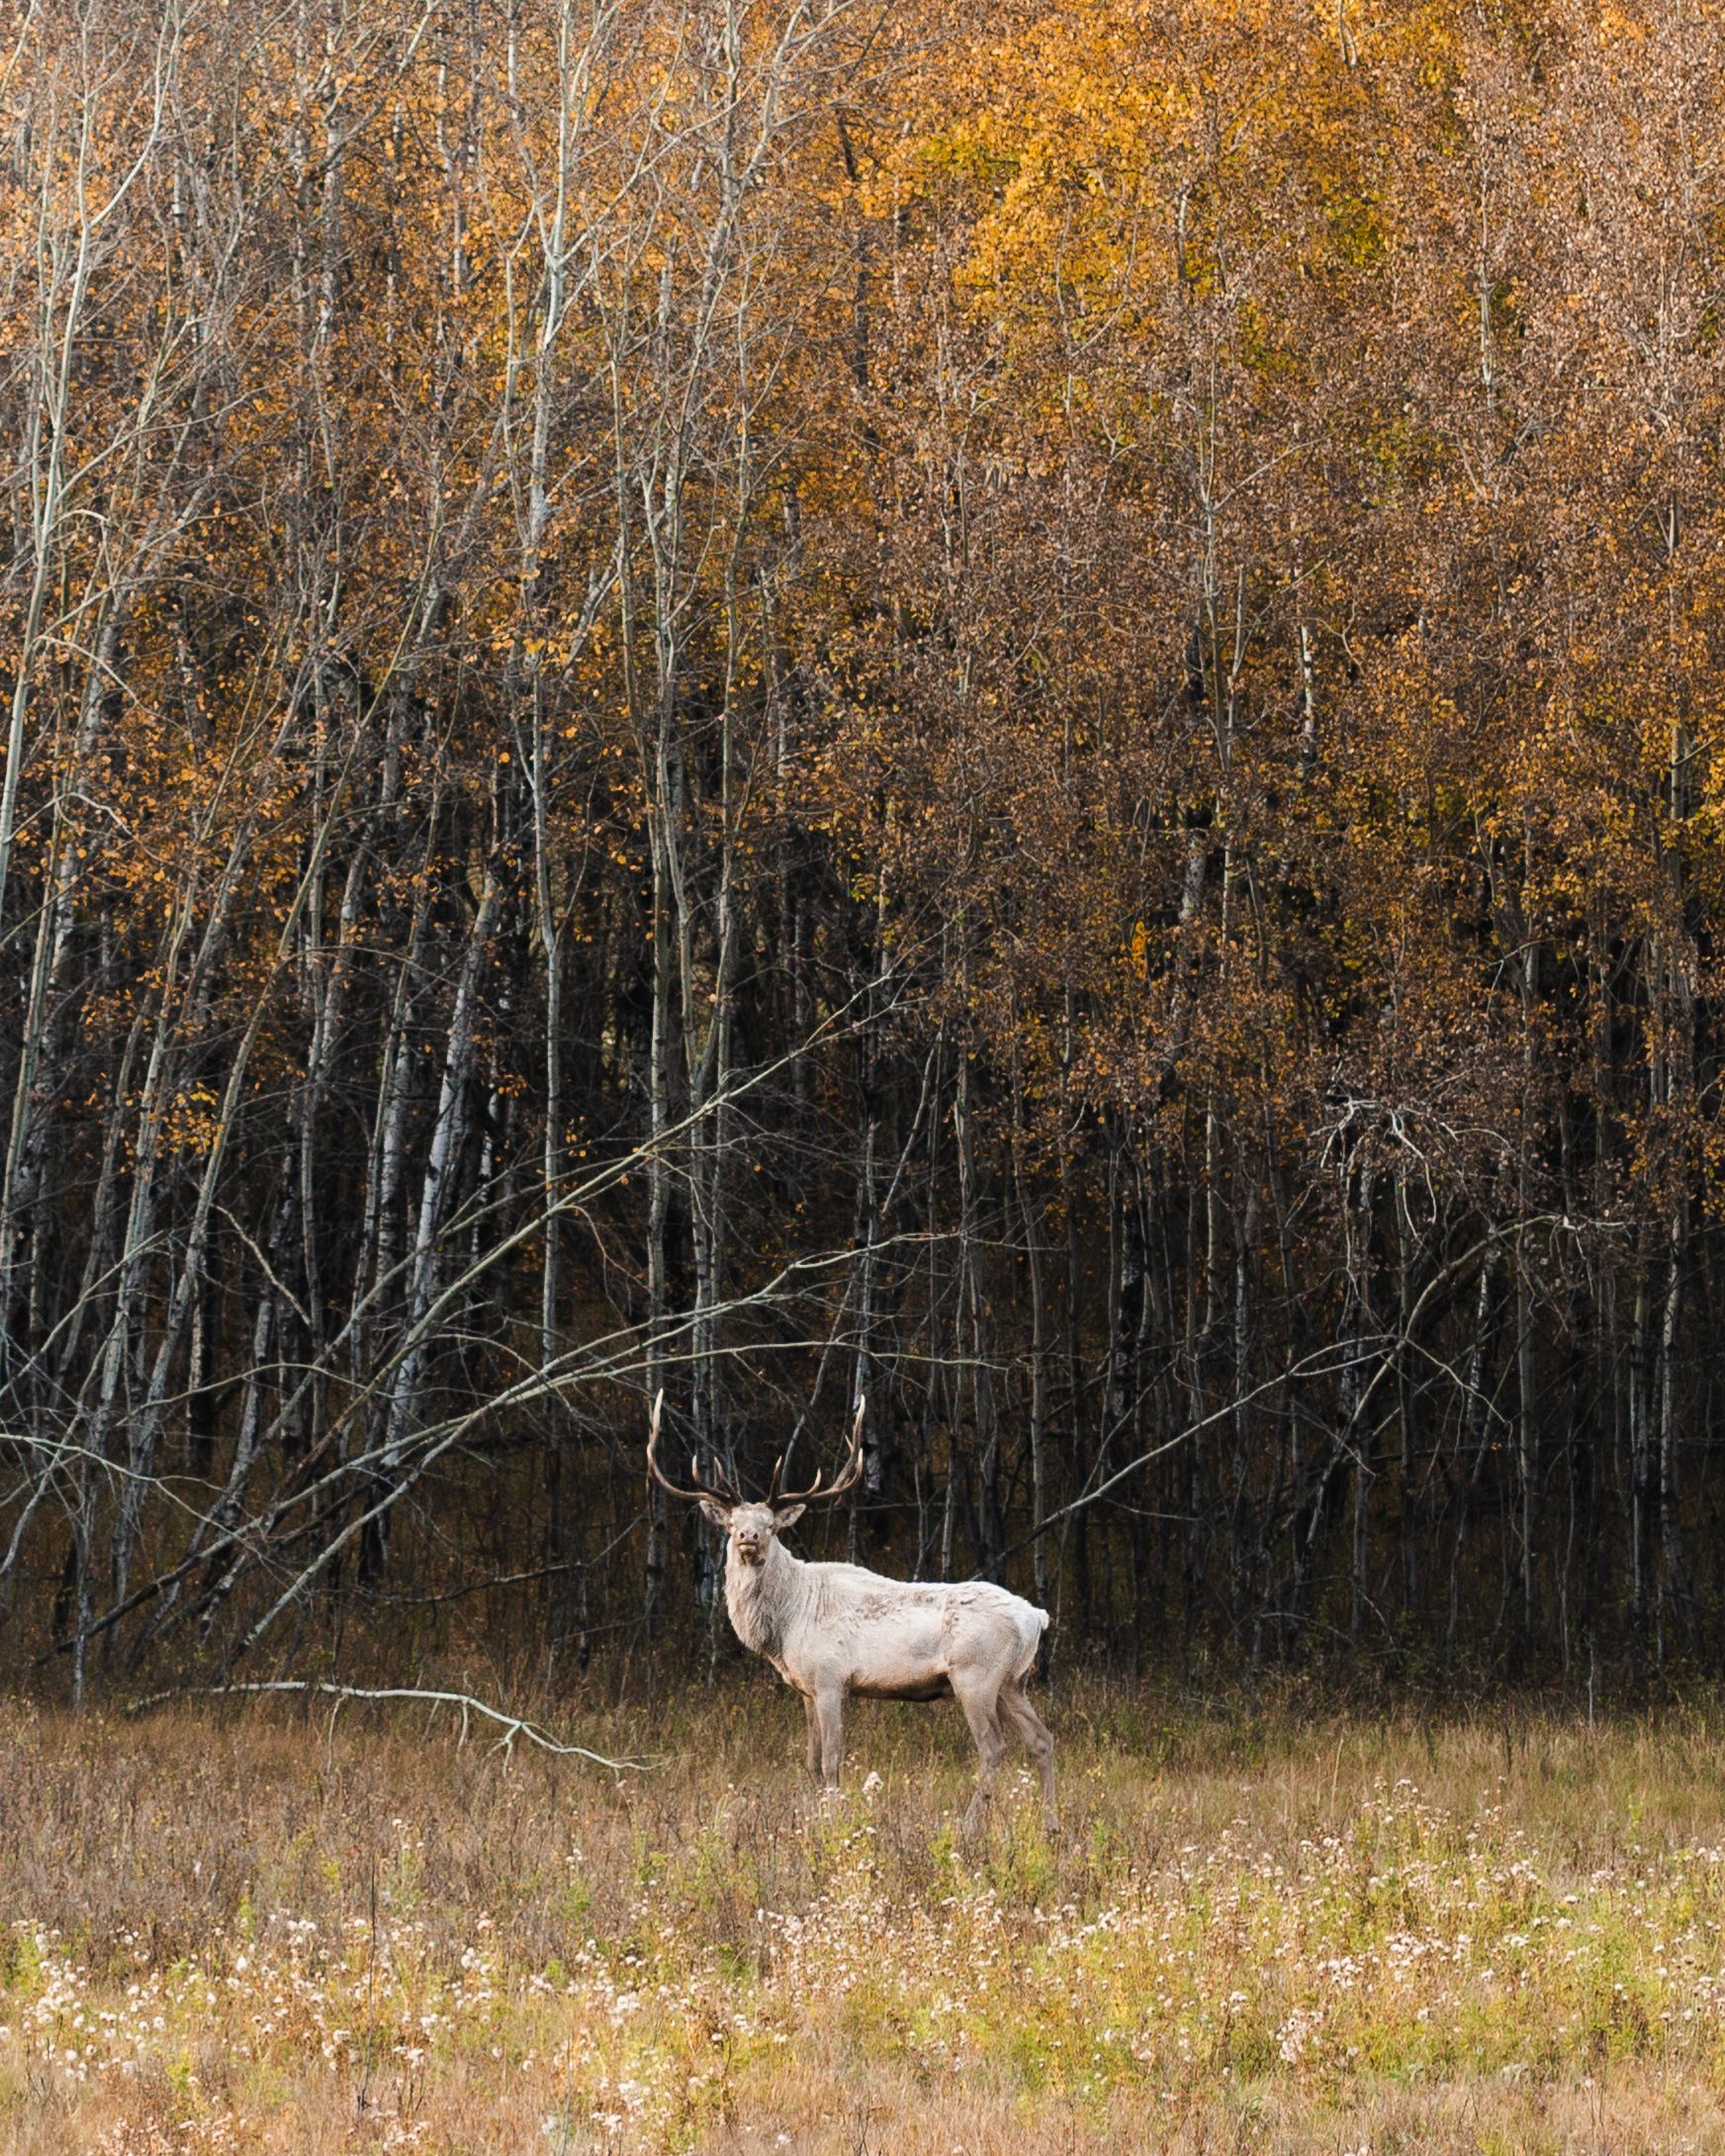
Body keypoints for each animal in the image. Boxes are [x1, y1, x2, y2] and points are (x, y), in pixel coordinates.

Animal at [647, 1392, 1056, 1838]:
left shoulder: (831, 1679)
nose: (747, 1537)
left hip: (975, 1675)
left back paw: (968, 1827)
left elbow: (831, 1760)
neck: (786, 1624)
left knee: (993, 1746)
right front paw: (812, 1821)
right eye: (732, 1522)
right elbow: (810, 1762)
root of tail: (1036, 1617)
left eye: (770, 1525)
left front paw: (834, 1824)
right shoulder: (806, 1688)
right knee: (1042, 1738)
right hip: (1012, 1681)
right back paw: (1050, 1822)